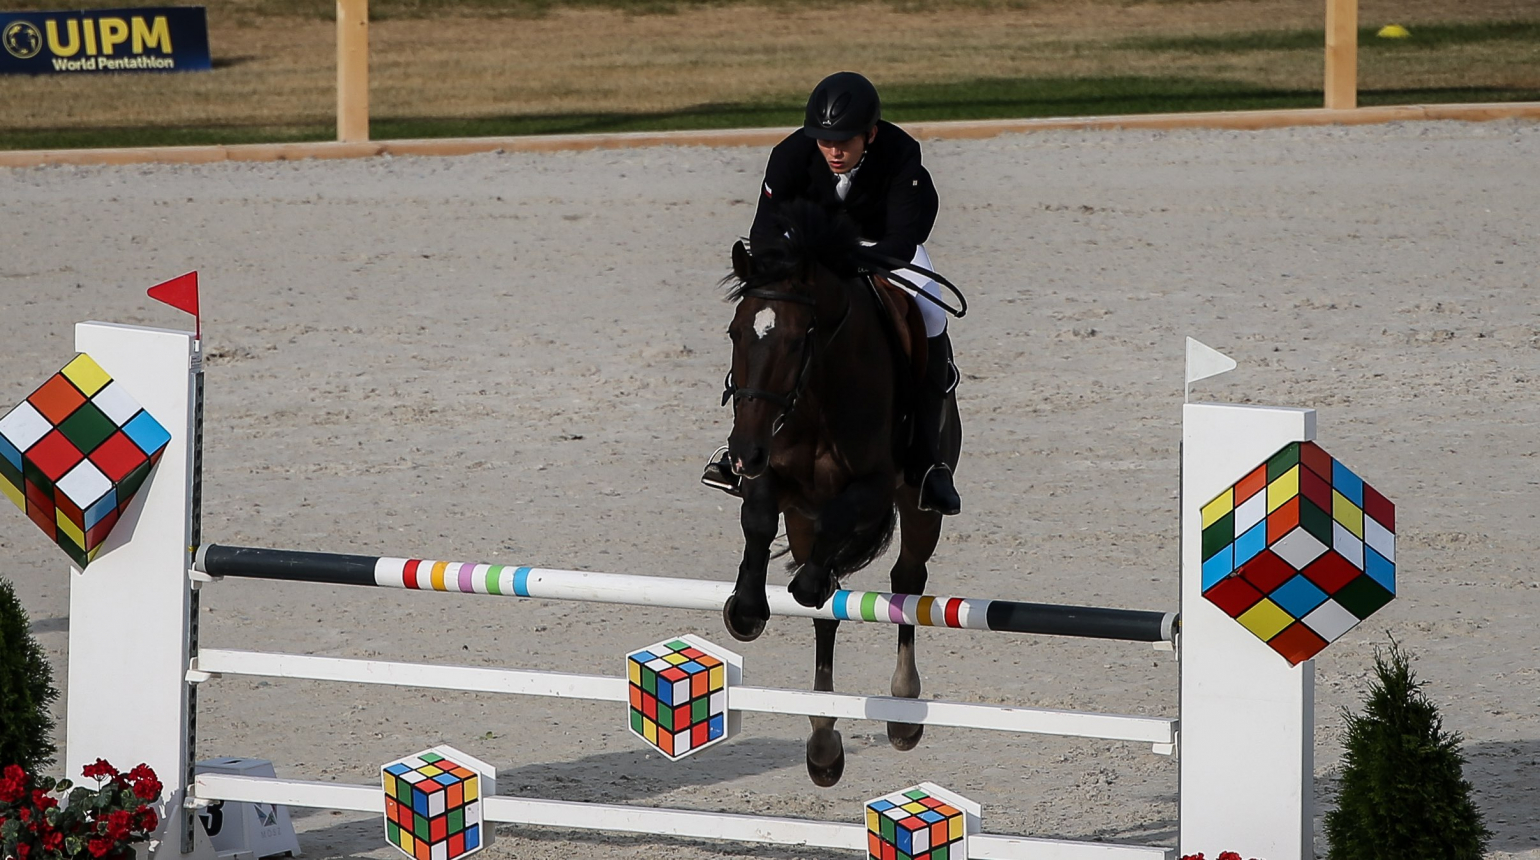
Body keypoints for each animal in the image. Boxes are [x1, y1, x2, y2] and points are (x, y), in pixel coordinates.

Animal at [711, 201, 954, 789]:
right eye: (735, 331)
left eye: (799, 339)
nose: (741, 451)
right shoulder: (776, 476)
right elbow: (758, 520)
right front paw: (745, 611)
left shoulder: (873, 485)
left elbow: (828, 552)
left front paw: (806, 583)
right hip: (799, 511)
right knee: (826, 613)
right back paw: (823, 746)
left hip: (919, 507)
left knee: (906, 582)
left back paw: (903, 713)